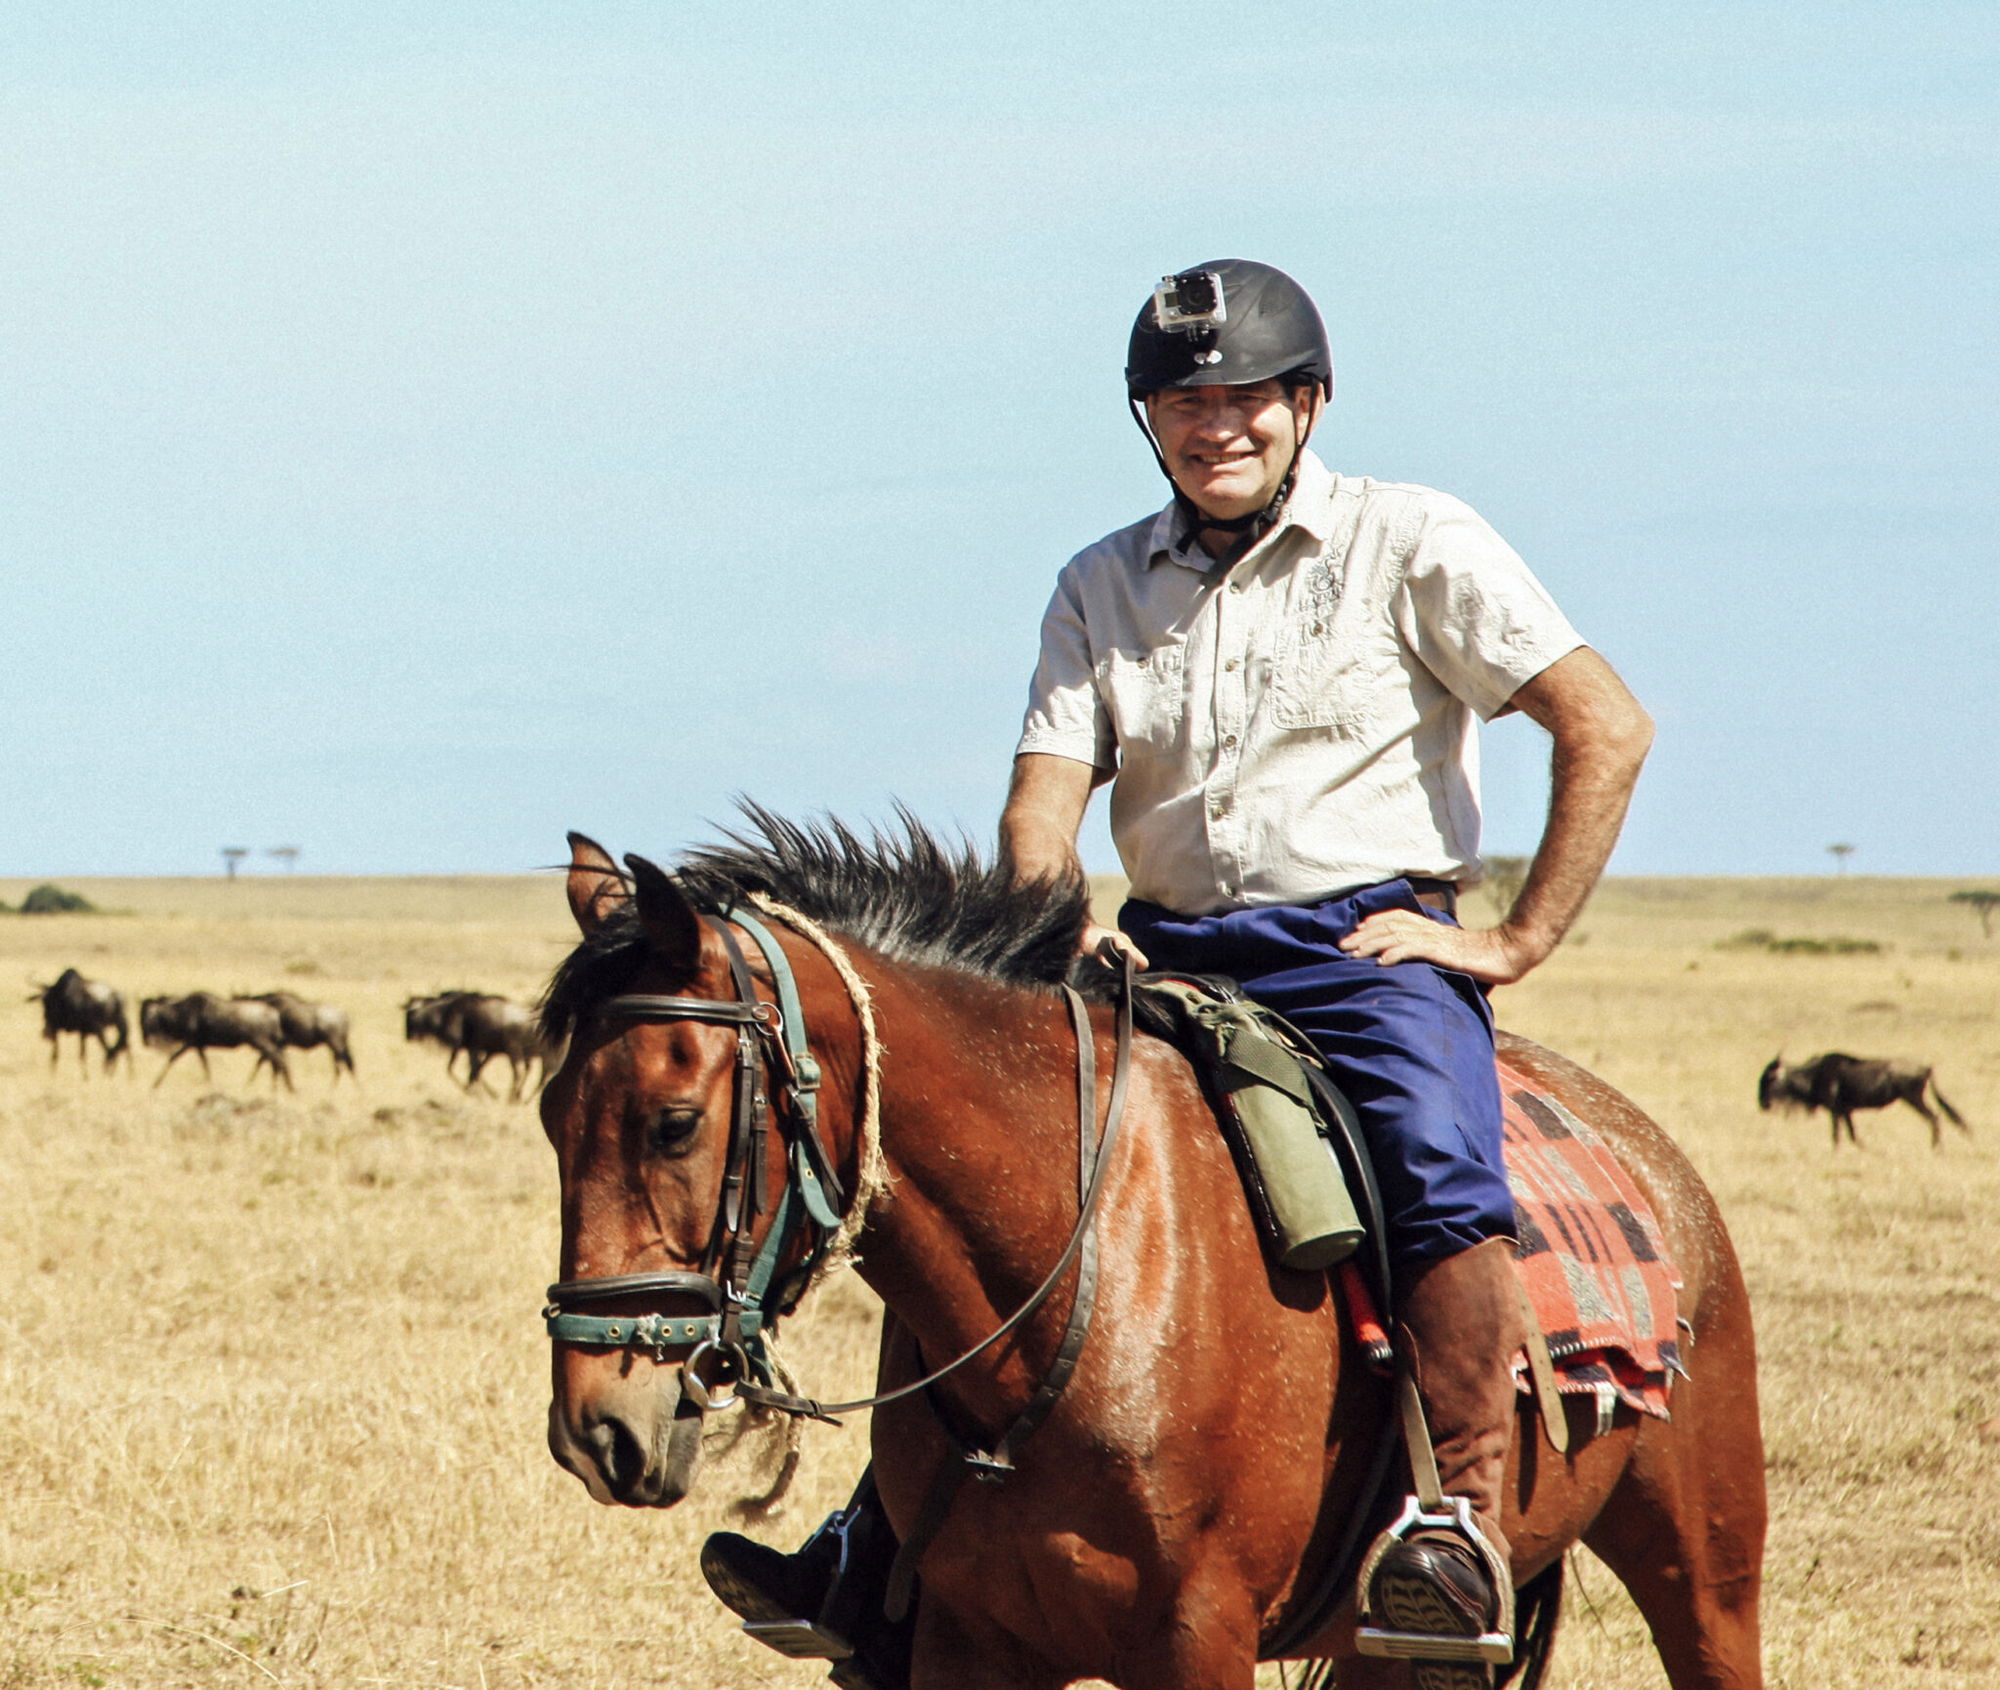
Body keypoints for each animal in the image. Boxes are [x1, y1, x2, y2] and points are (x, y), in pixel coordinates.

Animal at [539, 817, 1766, 1690]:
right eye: (552, 1113)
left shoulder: (1194, 1640)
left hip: (1706, 1573)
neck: (1082, 1284)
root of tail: (1655, 1161)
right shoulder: (966, 1643)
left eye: (672, 1123)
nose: (597, 1425)